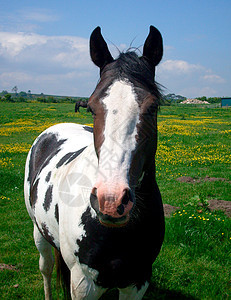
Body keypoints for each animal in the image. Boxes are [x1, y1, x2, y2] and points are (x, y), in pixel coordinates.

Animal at [24, 26, 165, 300]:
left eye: (153, 107)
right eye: (91, 107)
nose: (111, 201)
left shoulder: (138, 281)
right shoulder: (83, 283)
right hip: (39, 233)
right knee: (46, 269)